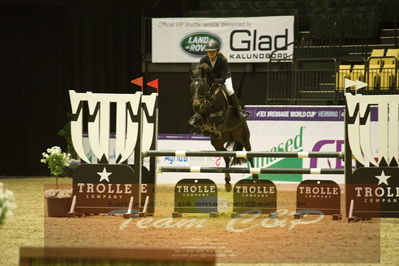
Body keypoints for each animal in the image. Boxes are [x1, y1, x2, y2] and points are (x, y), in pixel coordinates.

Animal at [190, 62, 260, 191]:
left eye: (202, 87)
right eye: (191, 87)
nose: (196, 105)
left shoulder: (221, 116)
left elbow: (213, 119)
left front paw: (211, 129)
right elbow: (198, 121)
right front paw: (206, 129)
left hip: (243, 138)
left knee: (249, 155)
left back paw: (255, 178)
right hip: (217, 144)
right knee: (226, 157)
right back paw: (227, 181)